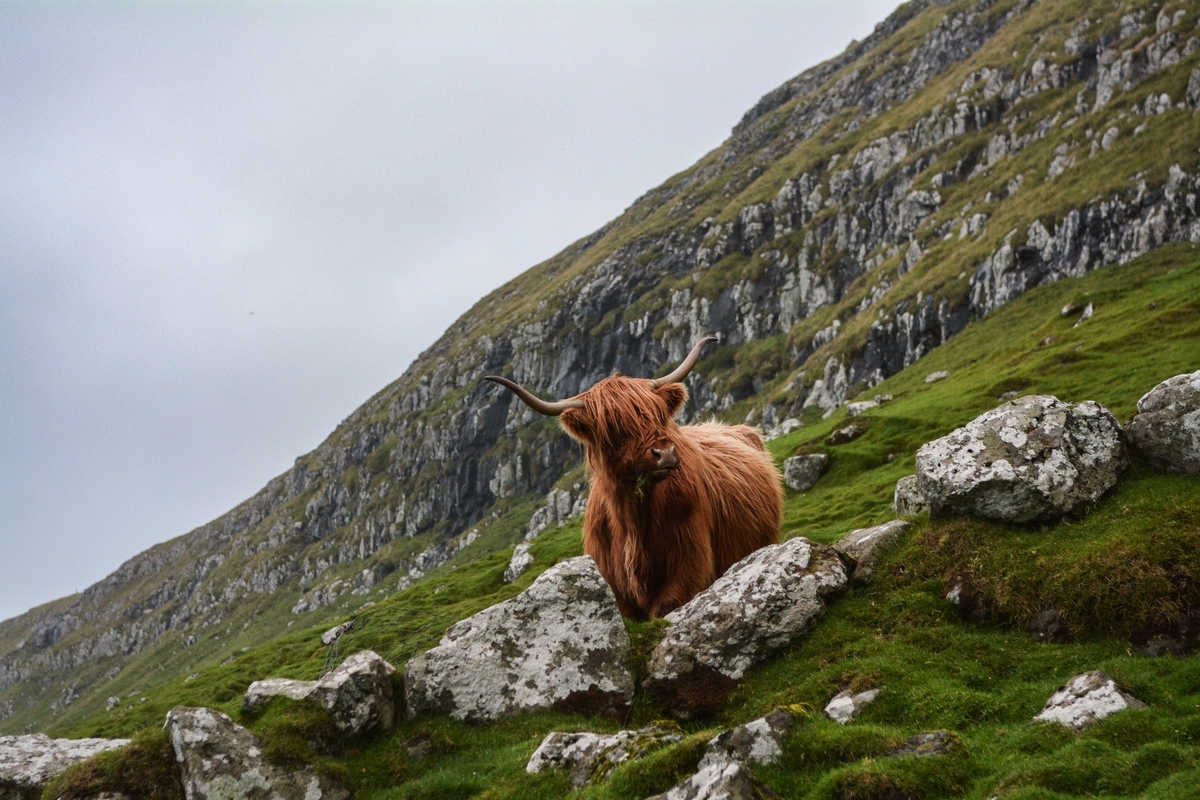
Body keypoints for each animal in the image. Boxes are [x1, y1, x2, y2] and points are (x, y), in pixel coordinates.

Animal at [482, 335, 782, 618]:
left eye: (659, 415)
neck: (633, 523)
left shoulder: (690, 566)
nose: (665, 453)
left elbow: (665, 607)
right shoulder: (615, 587)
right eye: (614, 428)